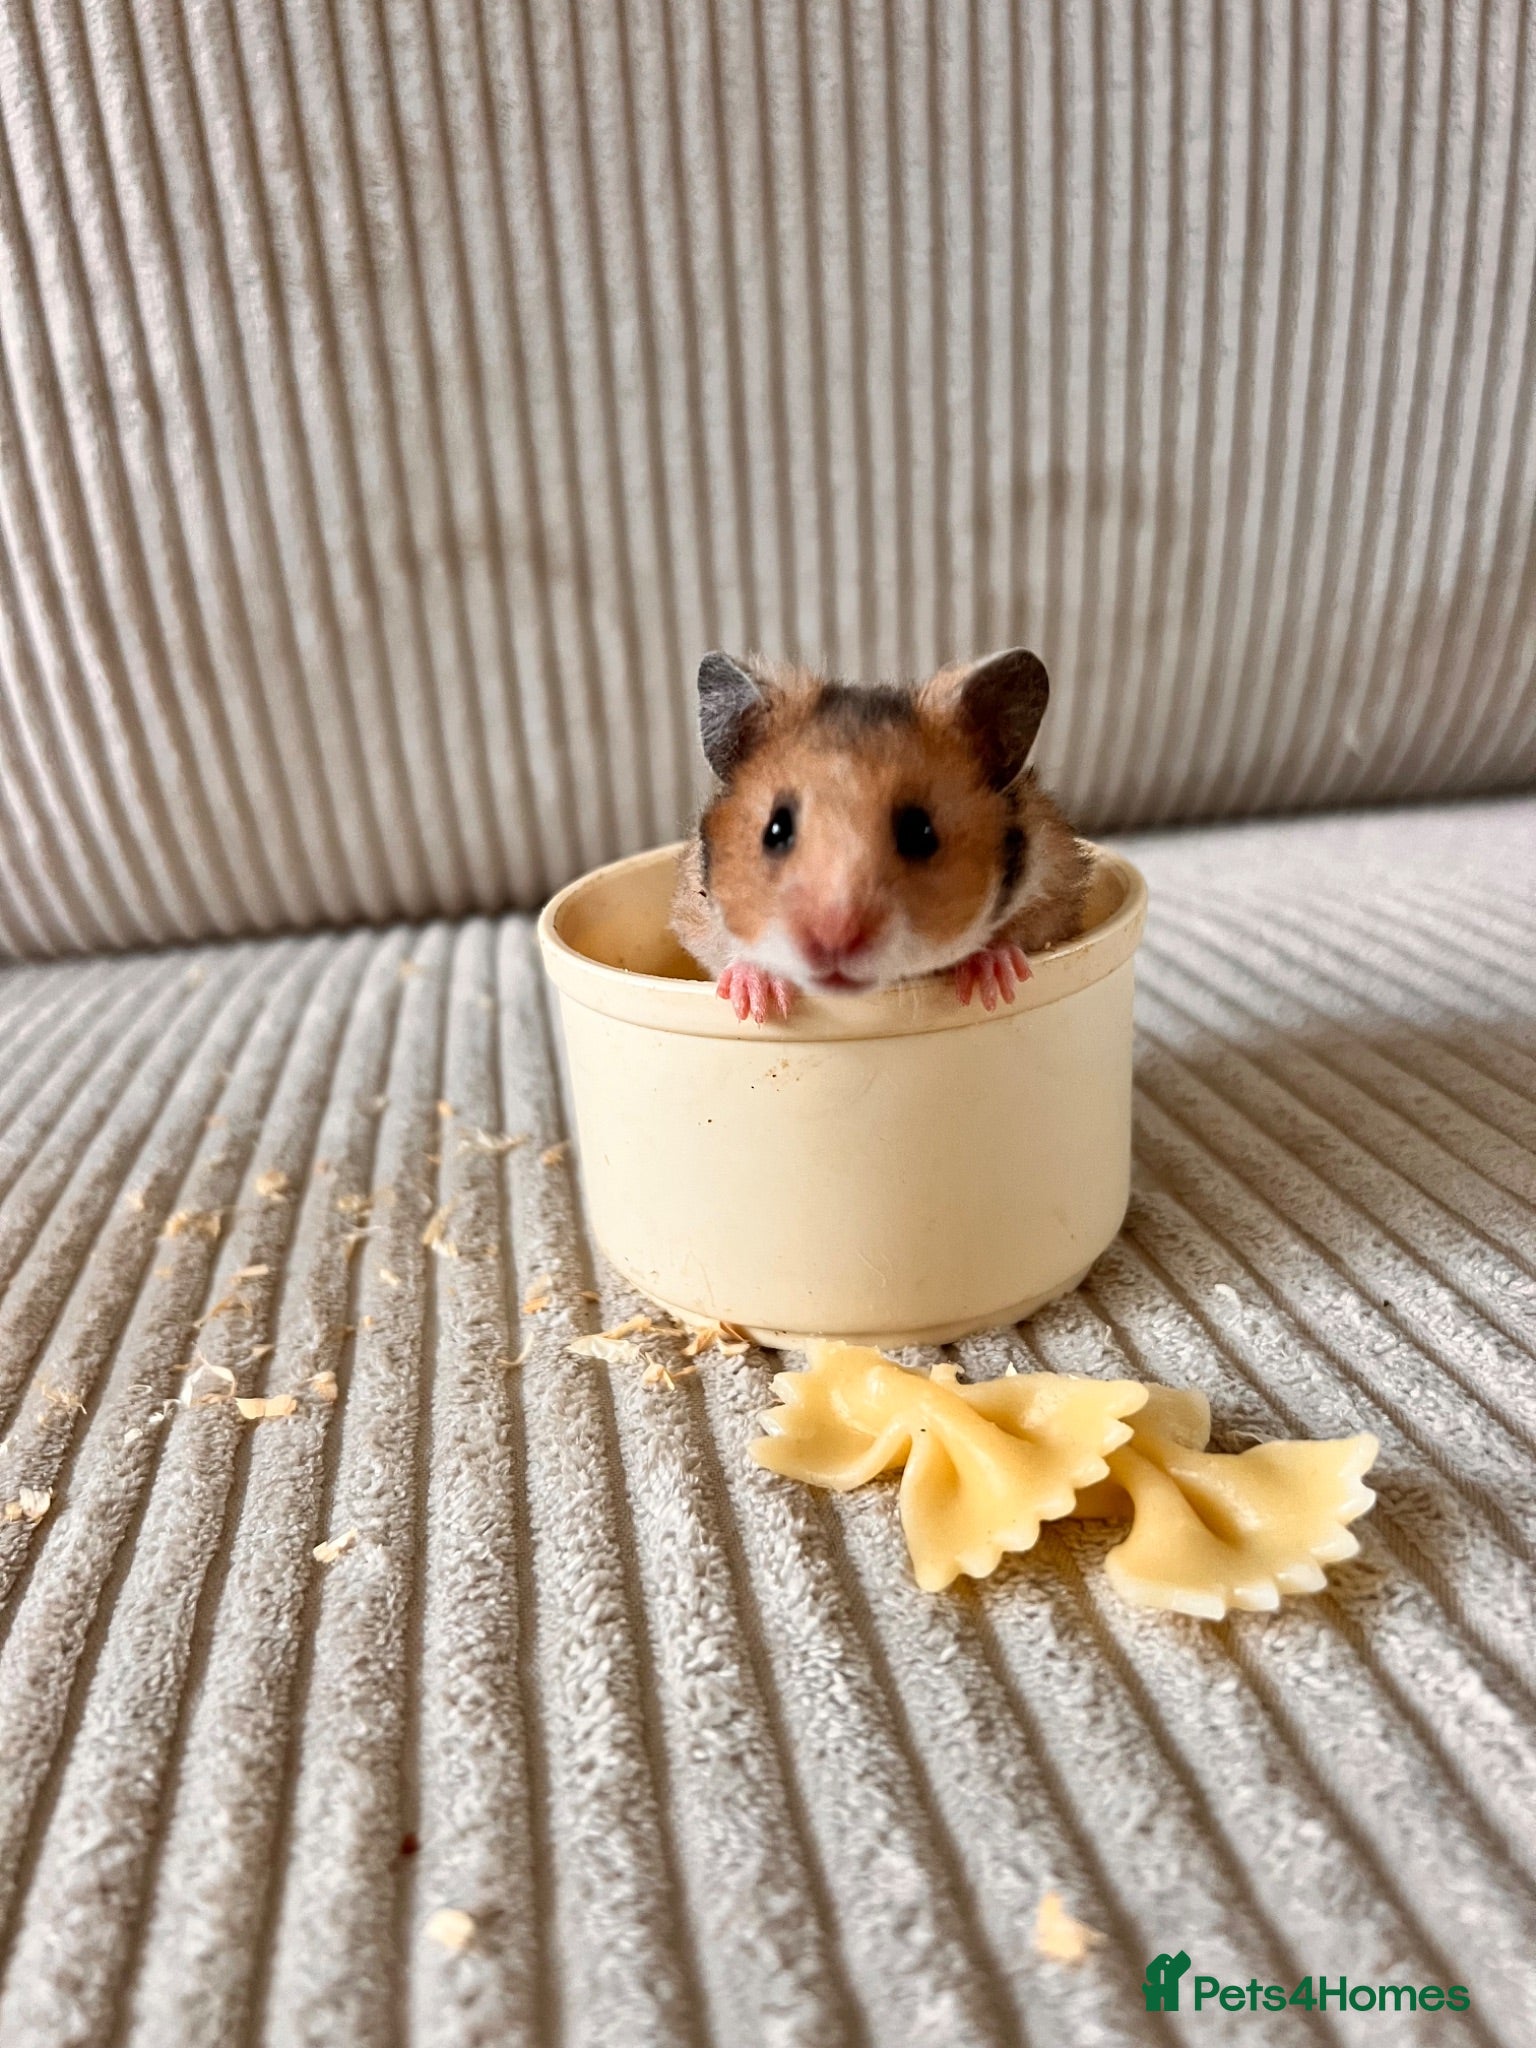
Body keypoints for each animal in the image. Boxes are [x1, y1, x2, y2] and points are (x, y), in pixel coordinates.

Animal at [670, 647, 1089, 1022]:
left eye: (920, 832)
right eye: (775, 829)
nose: (833, 940)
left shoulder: (1058, 885)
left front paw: (991, 982)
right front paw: (757, 1000)